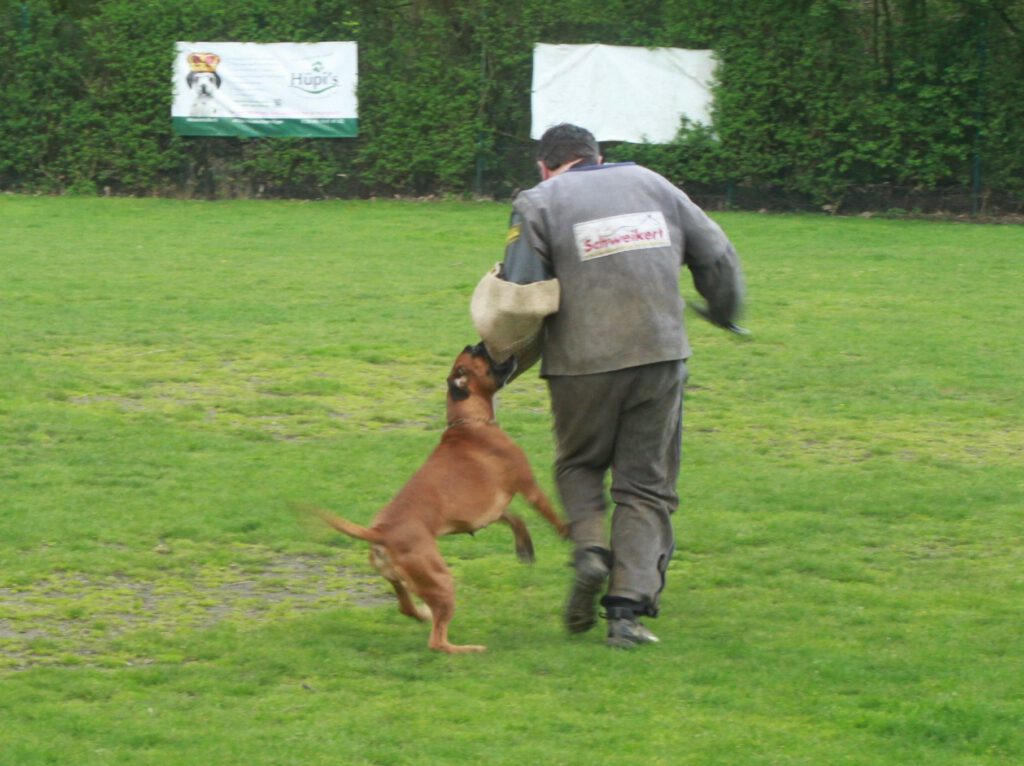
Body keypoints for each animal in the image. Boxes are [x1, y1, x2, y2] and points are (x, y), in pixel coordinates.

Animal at [311, 344, 569, 651]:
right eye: (478, 356)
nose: (475, 344)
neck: (469, 422)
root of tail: (380, 531)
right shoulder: (528, 487)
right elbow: (550, 512)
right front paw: (568, 532)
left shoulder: (486, 514)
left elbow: (515, 518)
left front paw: (524, 547)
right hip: (441, 580)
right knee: (437, 641)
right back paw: (469, 649)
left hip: (401, 581)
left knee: (407, 608)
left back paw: (423, 613)